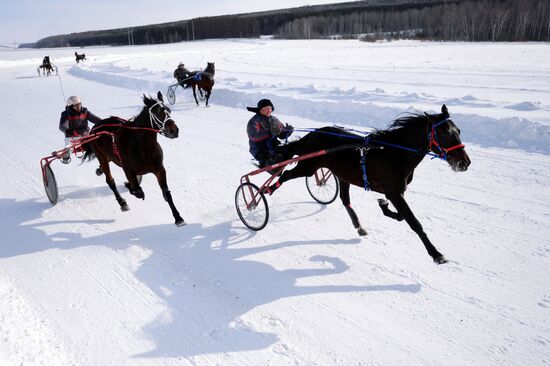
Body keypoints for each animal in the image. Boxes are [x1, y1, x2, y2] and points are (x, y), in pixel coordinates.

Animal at [82, 91, 185, 226]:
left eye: (168, 110)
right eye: (157, 111)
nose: (174, 131)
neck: (143, 147)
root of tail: (95, 128)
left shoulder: (159, 169)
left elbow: (166, 194)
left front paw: (178, 218)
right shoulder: (128, 170)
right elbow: (137, 190)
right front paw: (128, 185)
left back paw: (99, 170)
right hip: (101, 155)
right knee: (110, 181)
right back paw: (122, 202)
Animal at [270, 104, 472, 264]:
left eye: (459, 131)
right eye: (445, 134)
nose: (465, 163)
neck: (395, 153)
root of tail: (313, 134)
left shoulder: (397, 192)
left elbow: (401, 216)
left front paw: (383, 206)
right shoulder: (393, 192)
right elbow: (414, 222)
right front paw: (436, 254)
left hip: (342, 175)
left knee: (344, 199)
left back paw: (359, 226)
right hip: (308, 166)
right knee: (286, 174)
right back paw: (268, 189)